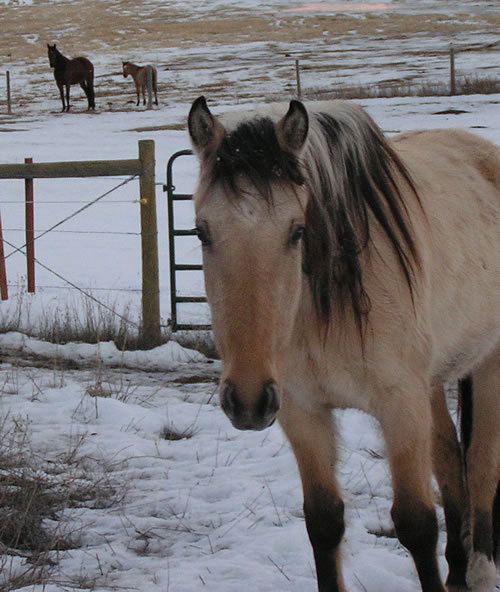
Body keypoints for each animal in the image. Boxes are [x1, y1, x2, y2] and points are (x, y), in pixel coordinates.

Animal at [188, 97, 500, 592]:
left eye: (297, 231)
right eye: (202, 231)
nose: (248, 401)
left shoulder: (400, 407)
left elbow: (416, 524)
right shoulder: (302, 410)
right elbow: (324, 522)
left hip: (489, 363)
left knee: (483, 463)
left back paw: (481, 570)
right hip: (431, 382)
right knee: (451, 459)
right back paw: (457, 571)